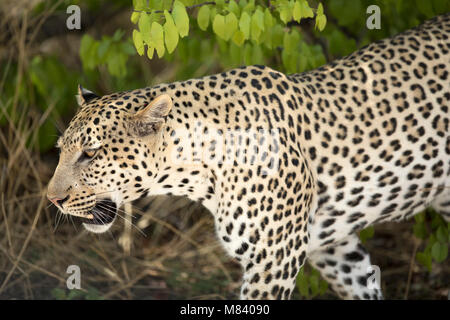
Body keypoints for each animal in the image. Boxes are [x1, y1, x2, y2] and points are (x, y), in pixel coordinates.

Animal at [47, 14, 448, 300]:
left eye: (90, 153)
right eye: (62, 151)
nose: (52, 199)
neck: (198, 171)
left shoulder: (275, 258)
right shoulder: (332, 247)